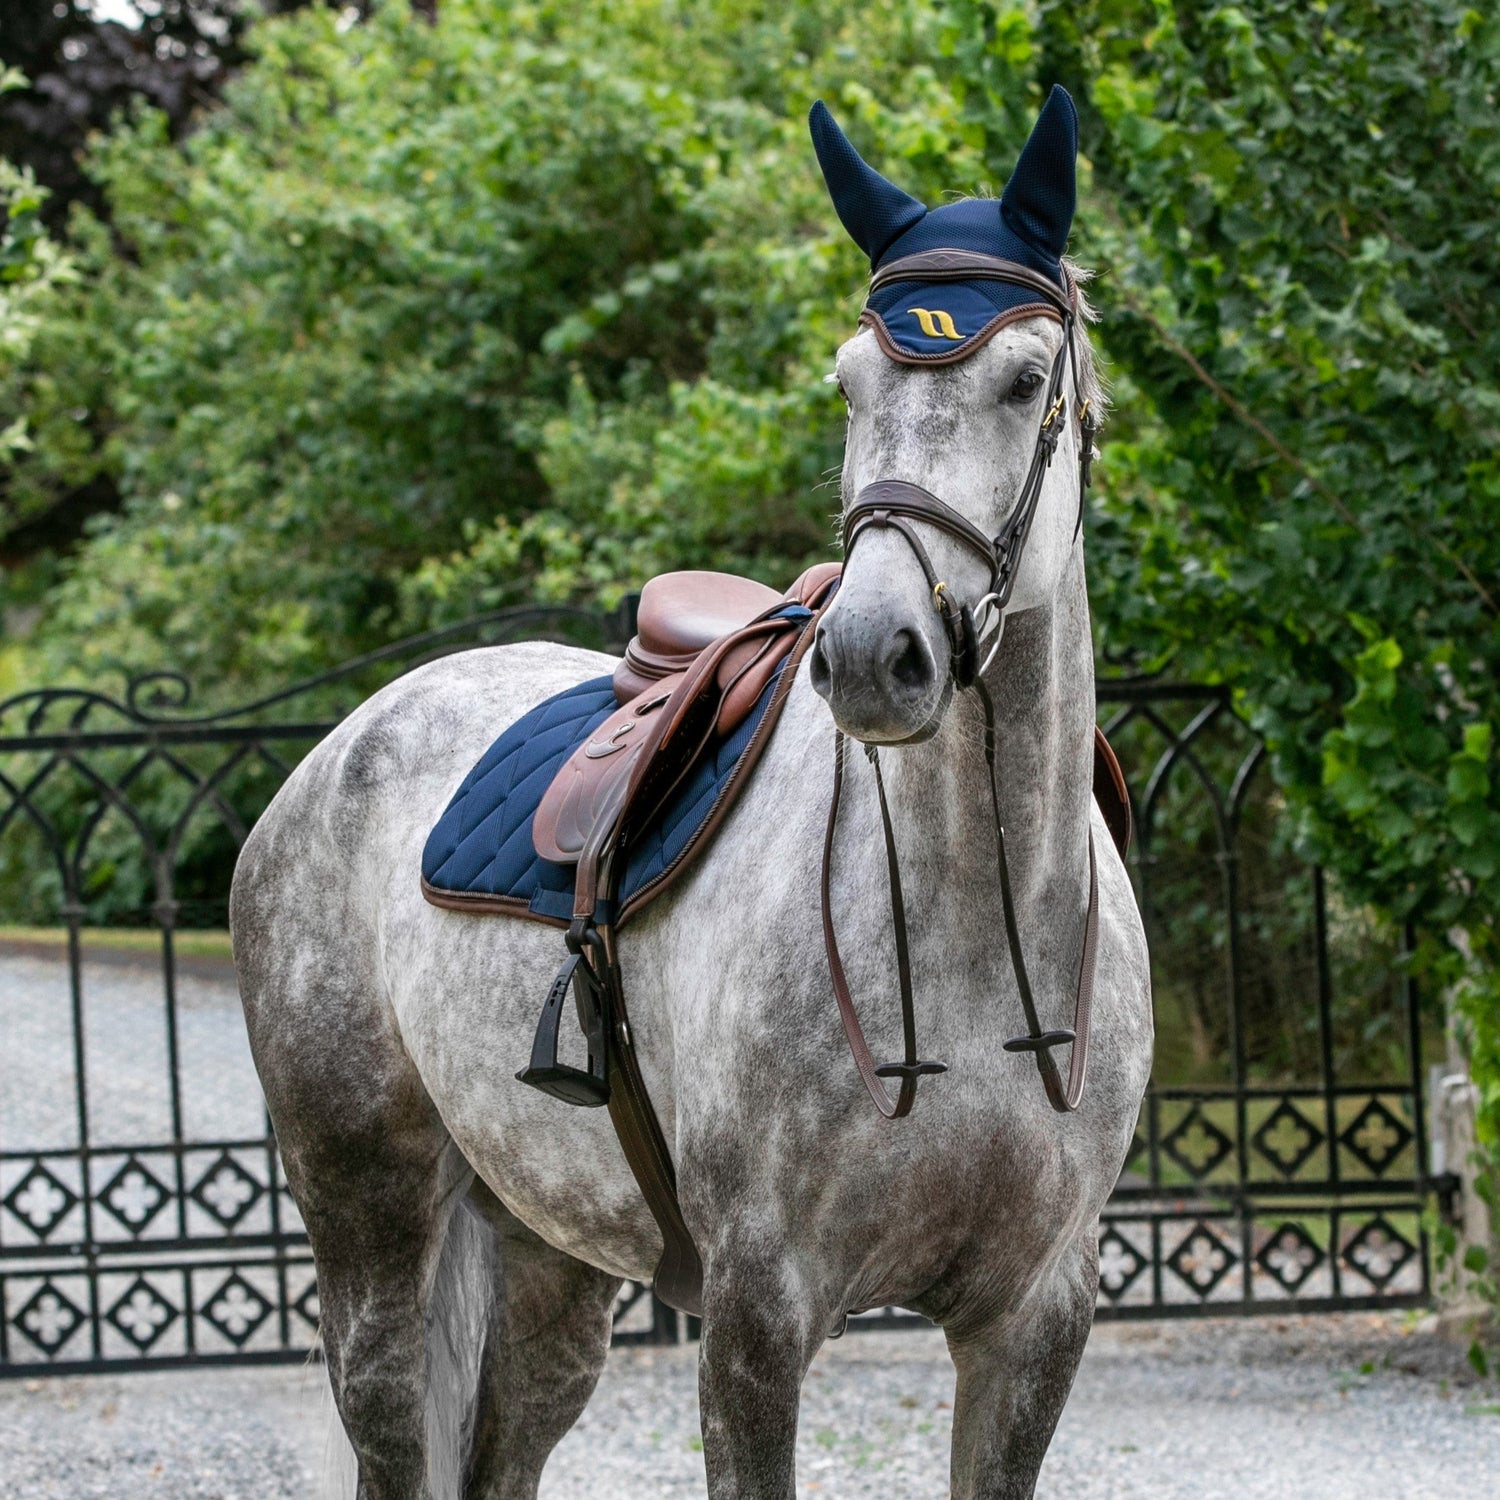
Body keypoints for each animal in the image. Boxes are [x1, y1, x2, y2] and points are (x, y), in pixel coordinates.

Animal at [231, 90, 1146, 1500]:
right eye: (850, 380)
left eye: (1023, 381)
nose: (875, 654)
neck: (976, 932)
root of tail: (337, 752)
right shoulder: (760, 1318)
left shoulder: (1032, 1320)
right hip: (374, 1231)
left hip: (547, 1257)